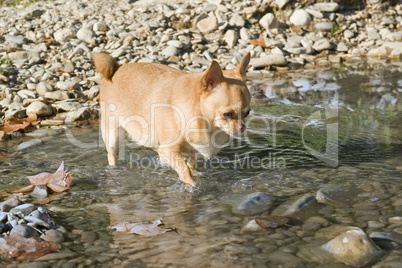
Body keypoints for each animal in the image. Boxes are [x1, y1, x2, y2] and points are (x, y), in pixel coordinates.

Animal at [92, 52, 250, 186]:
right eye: (227, 115)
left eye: (247, 113)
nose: (242, 127)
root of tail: (117, 68)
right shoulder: (169, 150)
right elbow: (184, 167)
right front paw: (191, 184)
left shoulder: (194, 151)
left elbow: (190, 164)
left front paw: (195, 174)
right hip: (112, 133)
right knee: (112, 155)